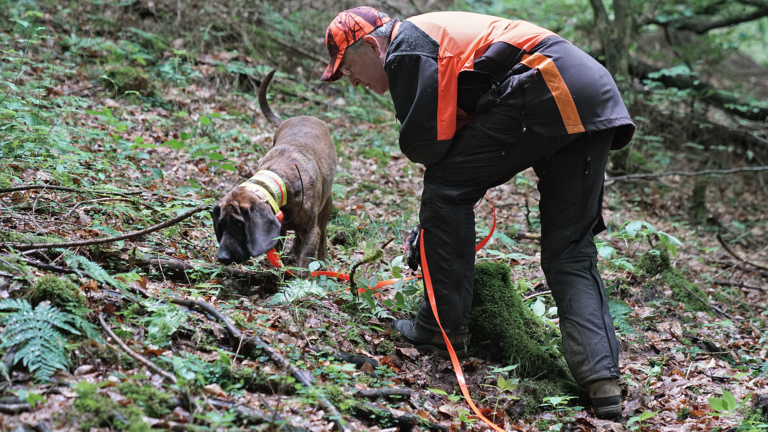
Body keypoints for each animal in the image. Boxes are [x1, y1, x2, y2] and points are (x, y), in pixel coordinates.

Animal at [214, 71, 338, 274]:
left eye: (239, 225)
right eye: (221, 226)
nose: (222, 257)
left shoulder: (311, 231)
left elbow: (305, 263)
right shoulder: (278, 230)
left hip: (325, 208)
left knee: (321, 237)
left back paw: (322, 260)